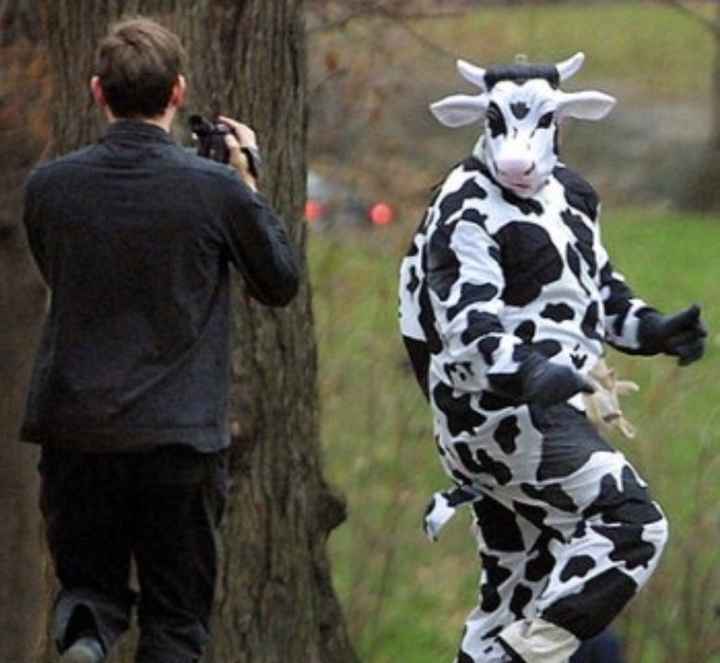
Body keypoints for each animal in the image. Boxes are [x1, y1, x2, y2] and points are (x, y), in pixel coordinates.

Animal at [398, 52, 707, 663]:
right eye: (492, 115)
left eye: (546, 115)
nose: (516, 164)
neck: (532, 199)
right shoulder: (460, 234)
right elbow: (474, 315)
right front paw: (546, 373)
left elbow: (609, 293)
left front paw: (672, 331)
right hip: (523, 466)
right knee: (616, 532)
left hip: (513, 530)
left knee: (493, 616)